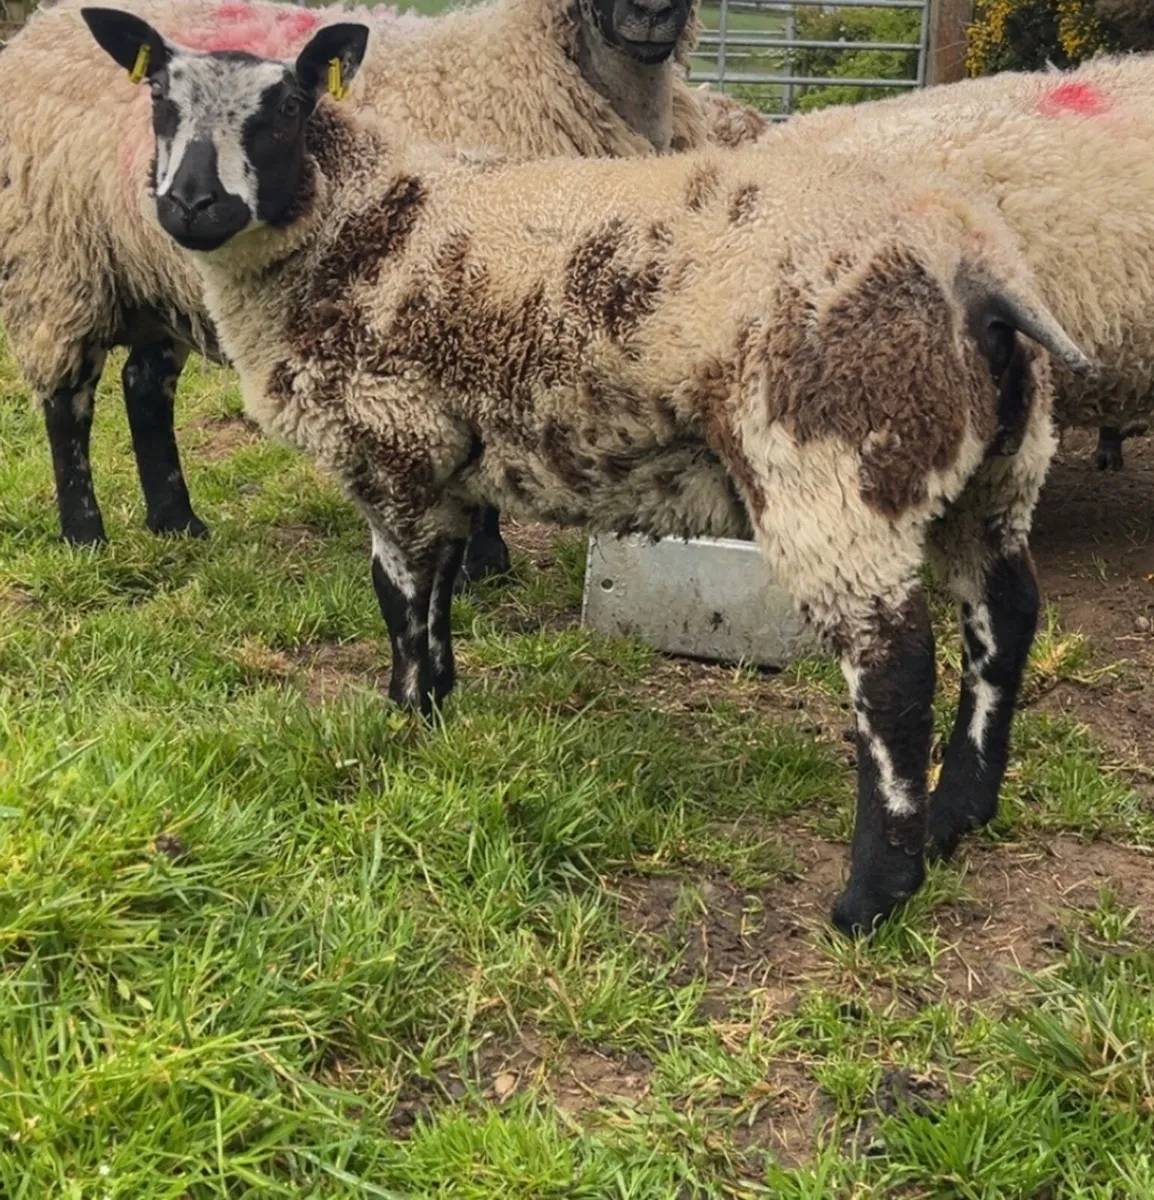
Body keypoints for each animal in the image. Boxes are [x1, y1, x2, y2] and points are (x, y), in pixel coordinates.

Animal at [0, 0, 706, 579]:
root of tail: (41, 27)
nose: (651, 14)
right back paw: (85, 534)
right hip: (59, 260)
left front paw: (484, 559)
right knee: (68, 399)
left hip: (154, 273)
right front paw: (480, 563)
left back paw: (177, 523)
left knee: (145, 386)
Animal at [76, 7, 1092, 934]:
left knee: (897, 671)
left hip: (838, 466)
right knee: (1004, 621)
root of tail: (976, 269)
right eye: (159, 102)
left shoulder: (392, 442)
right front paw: (439, 702)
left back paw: (876, 892)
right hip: (994, 470)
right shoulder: (446, 458)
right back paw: (962, 813)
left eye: (285, 109)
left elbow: (396, 596)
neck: (361, 217)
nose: (189, 206)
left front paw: (401, 716)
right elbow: (438, 587)